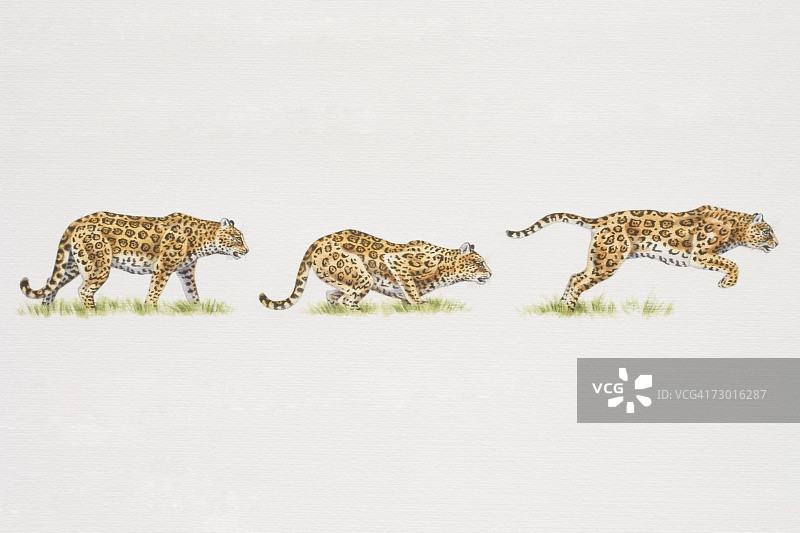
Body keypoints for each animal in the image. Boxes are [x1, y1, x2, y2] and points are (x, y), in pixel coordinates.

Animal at [20, 212, 249, 309]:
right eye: (238, 238)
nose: (247, 250)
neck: (203, 241)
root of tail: (79, 220)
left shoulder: (185, 270)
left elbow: (192, 293)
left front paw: (197, 310)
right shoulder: (163, 267)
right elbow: (155, 291)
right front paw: (149, 310)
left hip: (74, 264)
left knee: (53, 283)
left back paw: (46, 310)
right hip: (98, 265)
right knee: (84, 290)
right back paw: (92, 313)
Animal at [259, 229, 492, 310]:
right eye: (480, 262)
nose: (491, 274)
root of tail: (318, 241)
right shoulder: (396, 260)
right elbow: (410, 286)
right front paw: (420, 303)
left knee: (333, 294)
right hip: (362, 276)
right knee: (347, 301)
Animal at [506, 206, 778, 310]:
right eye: (767, 231)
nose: (777, 244)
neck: (736, 230)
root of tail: (601, 219)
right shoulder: (700, 255)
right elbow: (733, 264)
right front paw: (726, 283)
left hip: (598, 260)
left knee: (575, 276)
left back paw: (563, 307)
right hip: (607, 261)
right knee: (579, 281)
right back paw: (569, 309)